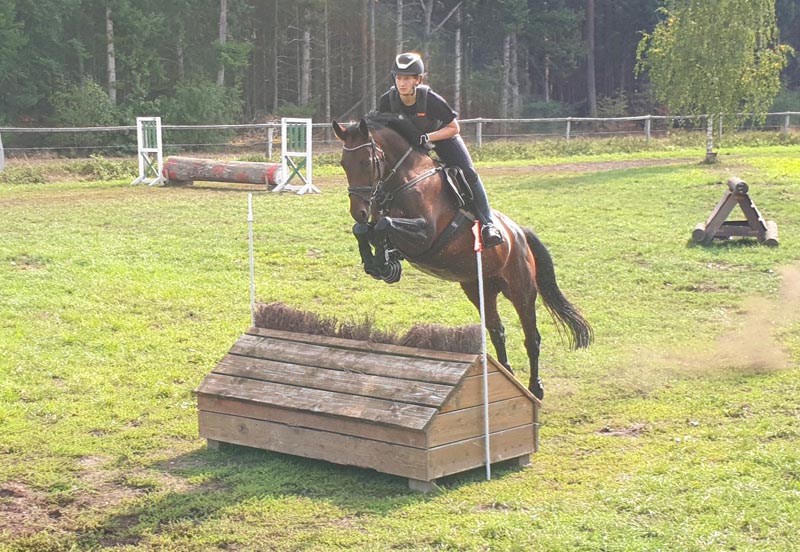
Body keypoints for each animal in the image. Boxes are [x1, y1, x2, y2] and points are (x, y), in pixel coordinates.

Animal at [331, 113, 592, 399]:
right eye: (343, 164)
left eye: (367, 162)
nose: (358, 210)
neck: (405, 179)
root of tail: (519, 233)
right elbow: (366, 229)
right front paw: (381, 264)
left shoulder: (426, 234)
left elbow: (383, 225)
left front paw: (383, 263)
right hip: (480, 289)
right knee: (497, 331)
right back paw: (507, 375)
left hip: (521, 290)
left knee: (531, 337)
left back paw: (536, 387)